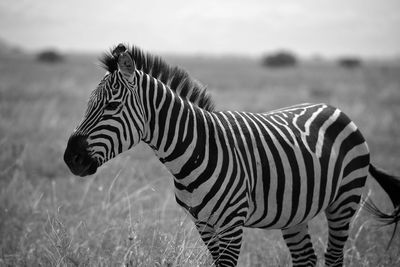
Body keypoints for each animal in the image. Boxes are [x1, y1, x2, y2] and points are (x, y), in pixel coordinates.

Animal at [64, 44, 398, 266]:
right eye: (88, 105)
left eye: (111, 106)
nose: (70, 159)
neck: (192, 152)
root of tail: (335, 108)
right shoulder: (202, 224)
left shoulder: (231, 224)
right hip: (296, 214)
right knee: (306, 258)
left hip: (344, 202)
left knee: (333, 256)